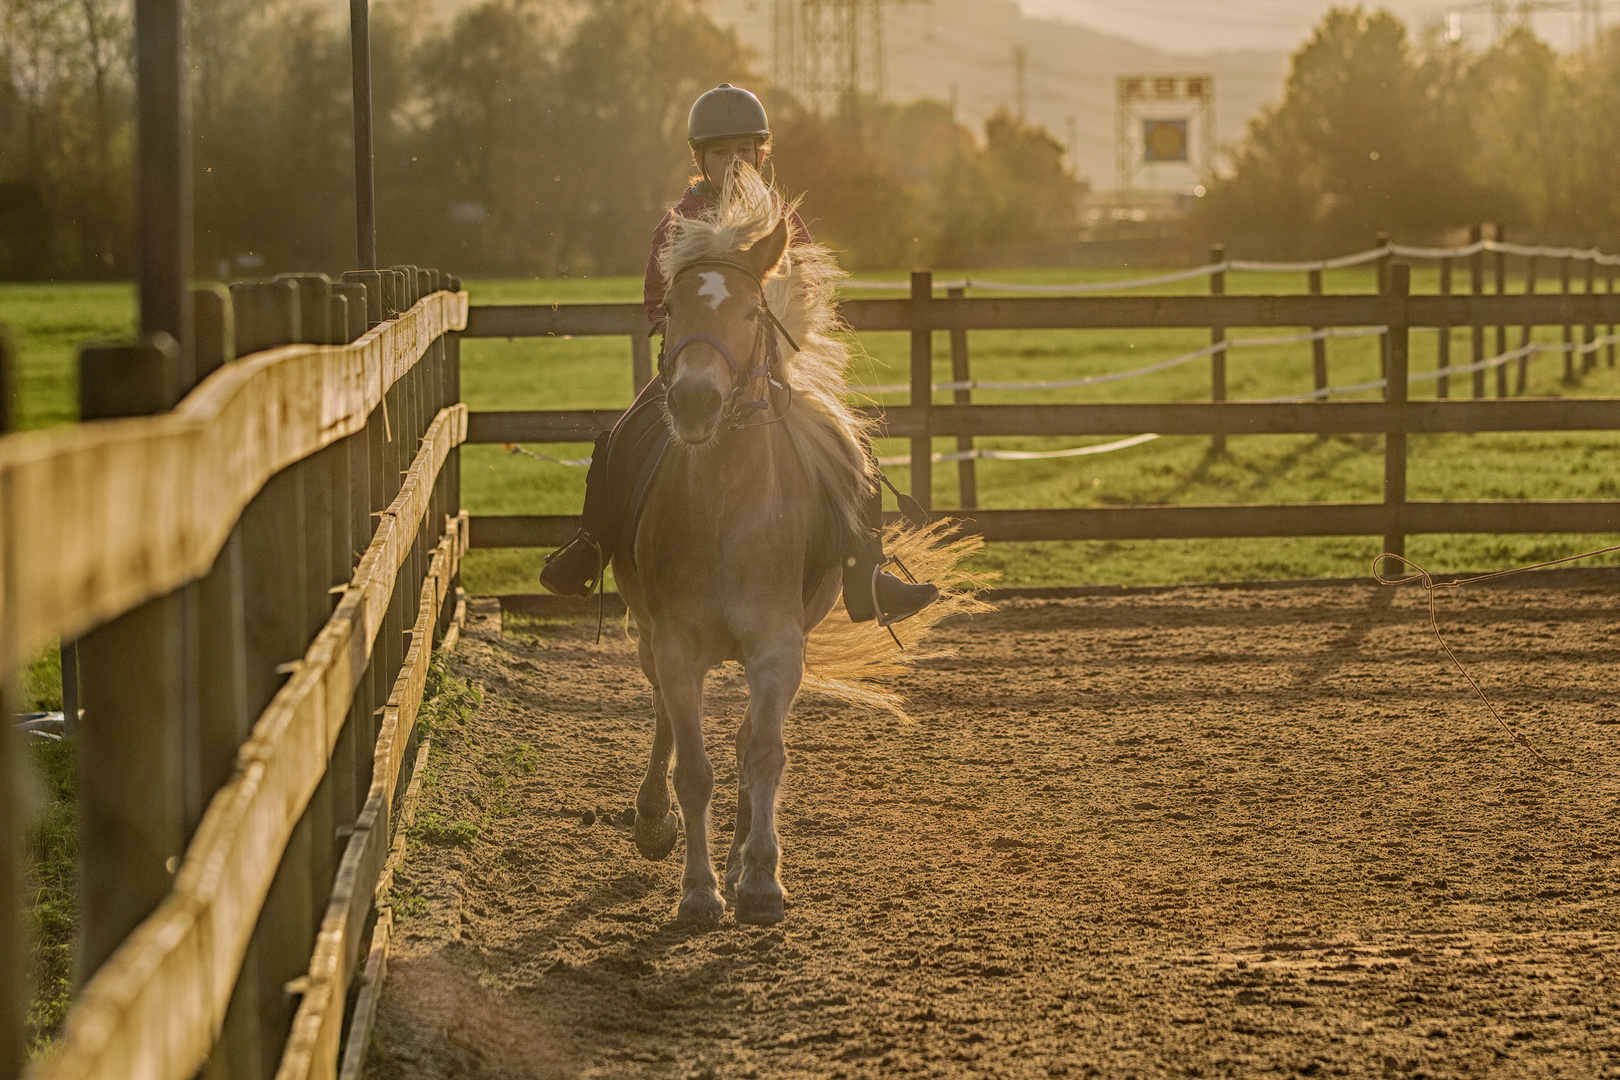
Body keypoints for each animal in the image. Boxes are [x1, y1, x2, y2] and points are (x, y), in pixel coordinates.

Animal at [609, 169, 978, 932]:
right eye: (674, 307)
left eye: (753, 312)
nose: (694, 403)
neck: (724, 508)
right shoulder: (678, 646)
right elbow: (693, 767)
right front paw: (698, 891)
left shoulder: (779, 647)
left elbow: (764, 752)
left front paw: (758, 878)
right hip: (651, 637)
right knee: (664, 717)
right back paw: (654, 822)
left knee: (749, 739)